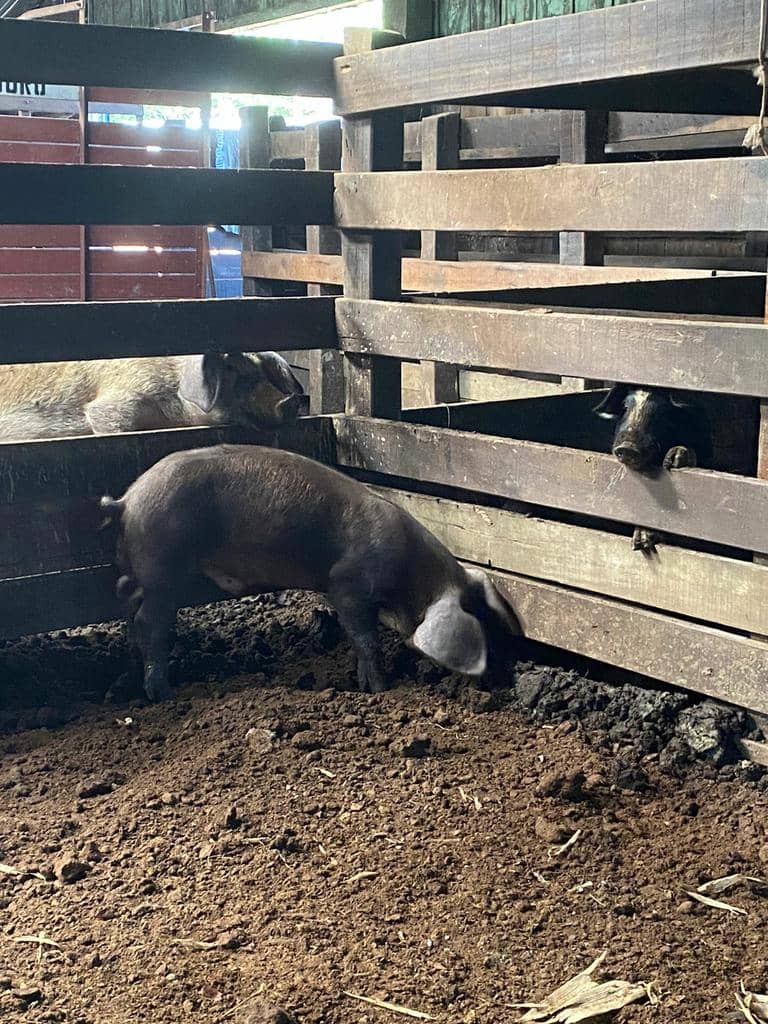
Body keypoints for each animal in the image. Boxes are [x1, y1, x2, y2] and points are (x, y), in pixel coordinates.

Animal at [100, 444, 520, 702]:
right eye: (479, 625)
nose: (501, 680)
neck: (408, 572)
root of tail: (126, 500)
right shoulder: (347, 585)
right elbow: (365, 638)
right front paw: (380, 689)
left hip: (142, 570)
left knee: (128, 606)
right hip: (164, 566)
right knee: (150, 619)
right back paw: (162, 692)